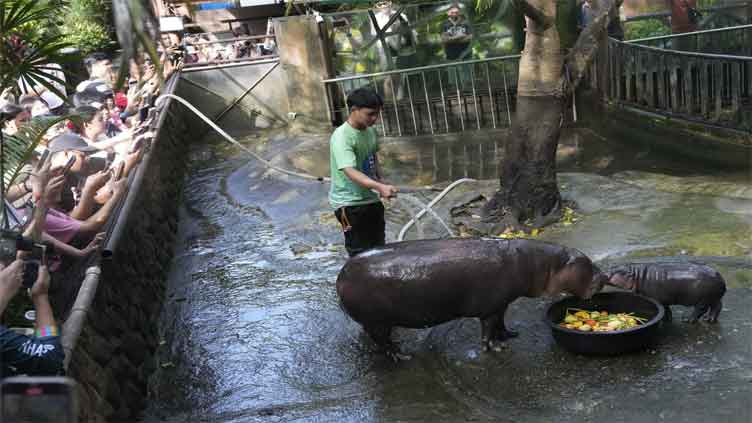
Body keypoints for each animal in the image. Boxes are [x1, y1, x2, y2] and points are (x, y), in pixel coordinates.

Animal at [334, 238, 604, 362]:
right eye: (587, 263)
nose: (605, 276)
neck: (542, 264)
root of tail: (342, 273)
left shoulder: (501, 304)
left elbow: (501, 323)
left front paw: (509, 335)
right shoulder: (490, 308)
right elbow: (488, 329)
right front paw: (494, 348)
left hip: (376, 321)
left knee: (375, 338)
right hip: (377, 322)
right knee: (382, 341)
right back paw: (401, 356)